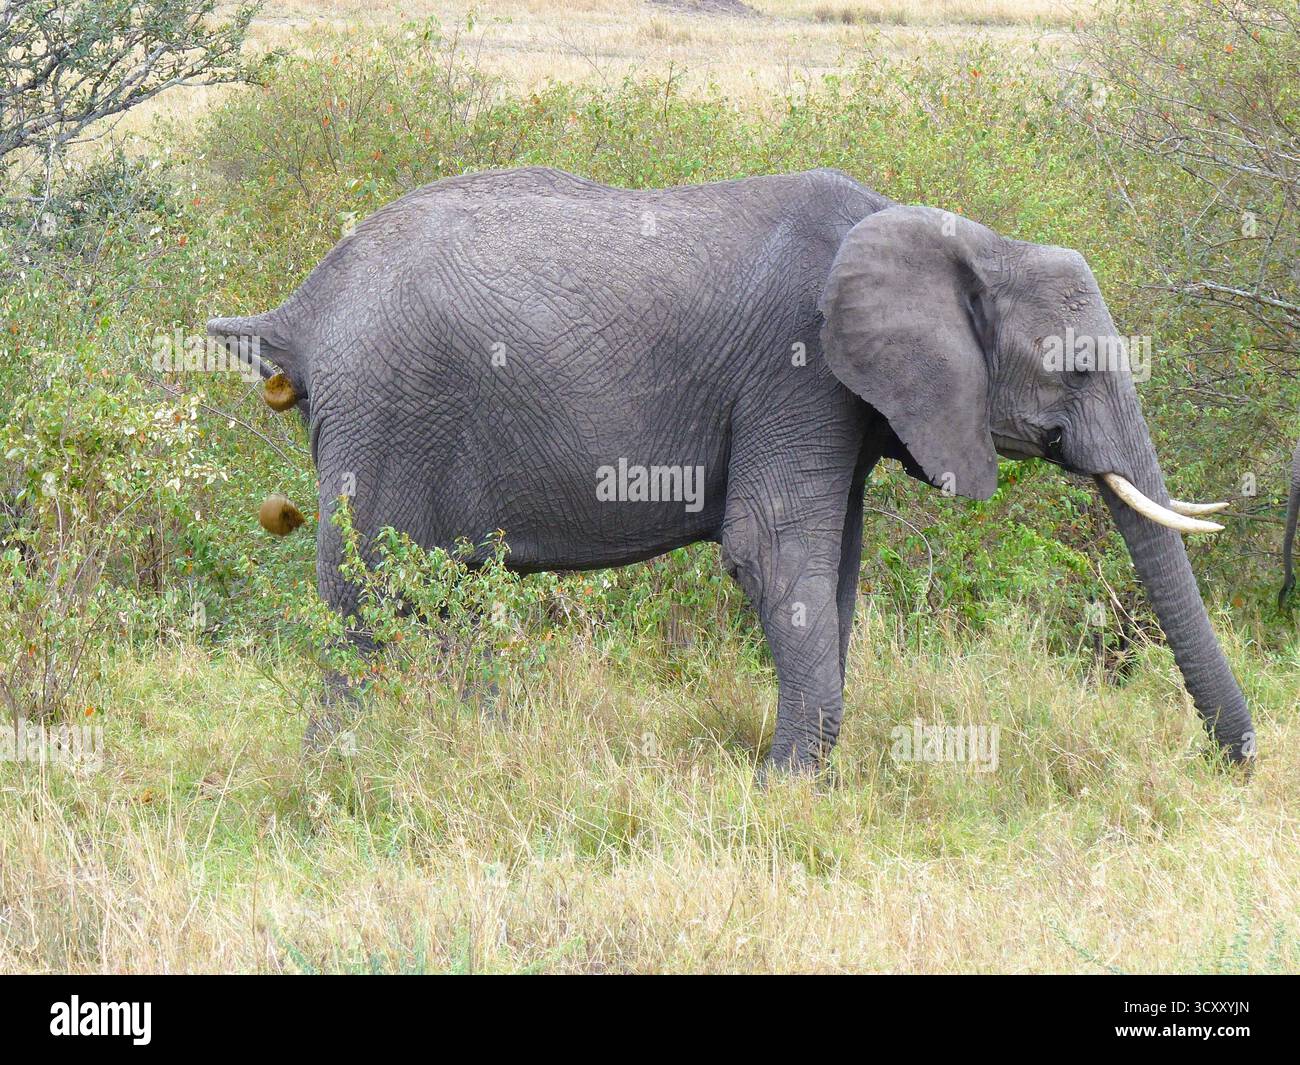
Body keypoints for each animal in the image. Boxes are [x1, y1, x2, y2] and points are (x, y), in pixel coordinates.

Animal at [208, 165, 1255, 771]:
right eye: (1075, 368)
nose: (1236, 761)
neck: (958, 235)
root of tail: (302, 306)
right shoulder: (797, 369)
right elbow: (773, 552)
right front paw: (786, 782)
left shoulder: (840, 399)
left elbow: (833, 568)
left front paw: (809, 770)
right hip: (387, 408)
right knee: (368, 593)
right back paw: (342, 769)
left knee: (442, 596)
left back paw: (482, 746)